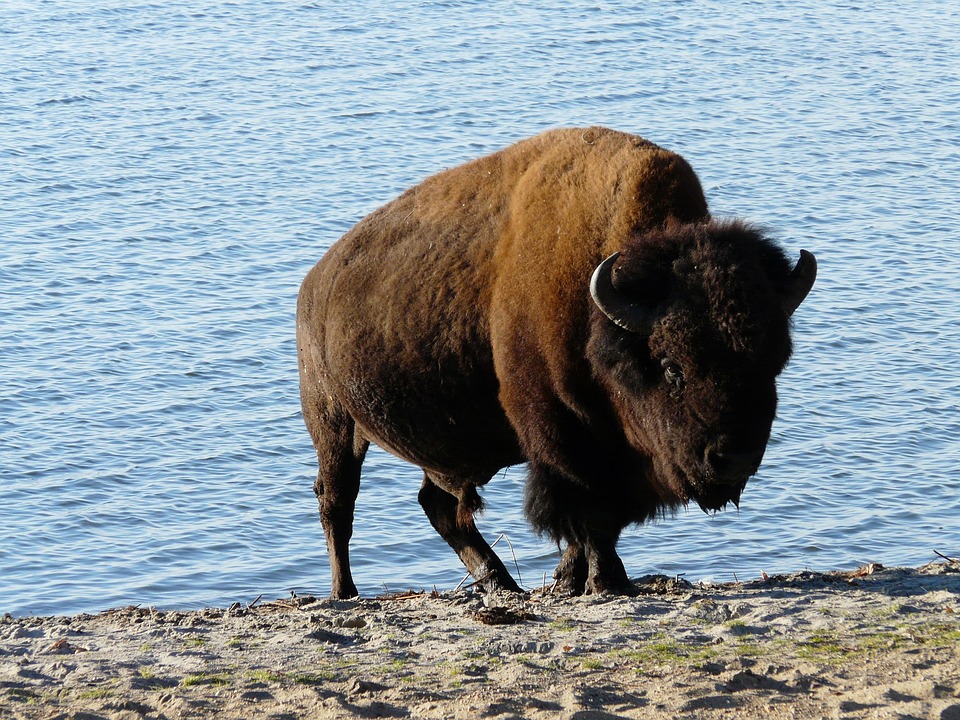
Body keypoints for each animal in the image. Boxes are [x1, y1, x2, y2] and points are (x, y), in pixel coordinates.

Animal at [297, 126, 816, 598]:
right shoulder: (564, 433)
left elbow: (603, 518)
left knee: (439, 506)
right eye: (672, 367)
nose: (734, 459)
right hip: (334, 424)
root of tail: (314, 281)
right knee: (337, 503)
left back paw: (502, 584)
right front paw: (604, 581)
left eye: (772, 364)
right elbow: (592, 511)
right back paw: (345, 593)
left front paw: (575, 578)